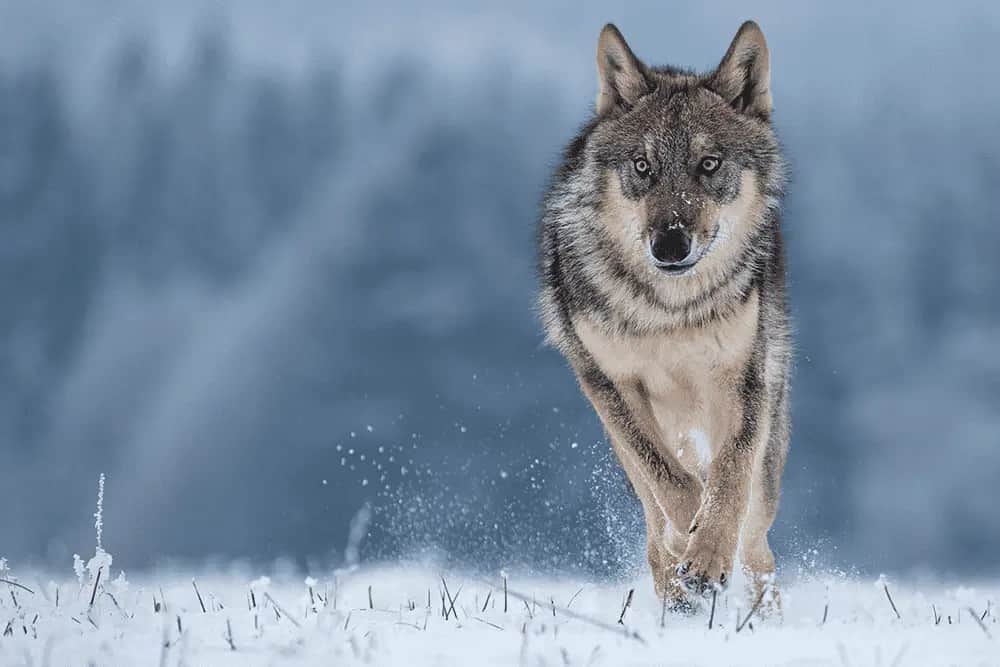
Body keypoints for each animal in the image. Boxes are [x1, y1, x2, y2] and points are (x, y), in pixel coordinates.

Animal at [538, 21, 790, 612]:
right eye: (643, 167)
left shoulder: (743, 379)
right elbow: (668, 481)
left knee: (758, 543)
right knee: (653, 509)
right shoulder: (609, 383)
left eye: (709, 164)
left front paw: (708, 553)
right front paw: (686, 547)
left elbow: (729, 477)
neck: (669, 312)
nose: (670, 244)